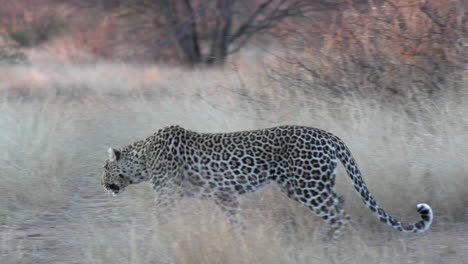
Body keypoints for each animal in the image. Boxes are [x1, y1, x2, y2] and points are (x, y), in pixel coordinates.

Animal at [101, 125, 432, 238]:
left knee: (341, 214)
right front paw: (239, 239)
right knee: (338, 205)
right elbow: (234, 220)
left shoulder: (166, 196)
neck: (143, 158)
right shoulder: (225, 195)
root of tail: (329, 135)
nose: (102, 184)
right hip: (304, 186)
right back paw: (325, 239)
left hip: (308, 187)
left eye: (104, 168)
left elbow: (159, 220)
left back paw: (333, 245)